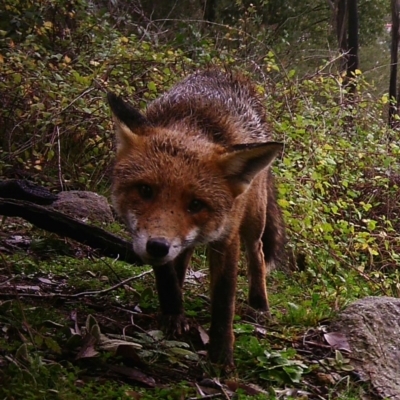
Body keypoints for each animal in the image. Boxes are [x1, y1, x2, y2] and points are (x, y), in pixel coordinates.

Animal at [107, 69, 284, 366]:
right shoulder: (154, 238)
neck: (192, 125)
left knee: (257, 254)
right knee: (184, 257)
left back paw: (259, 303)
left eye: (196, 204)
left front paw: (221, 356)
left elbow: (224, 300)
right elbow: (166, 275)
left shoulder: (226, 238)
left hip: (254, 219)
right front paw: (173, 313)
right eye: (145, 190)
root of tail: (226, 73)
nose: (157, 246)